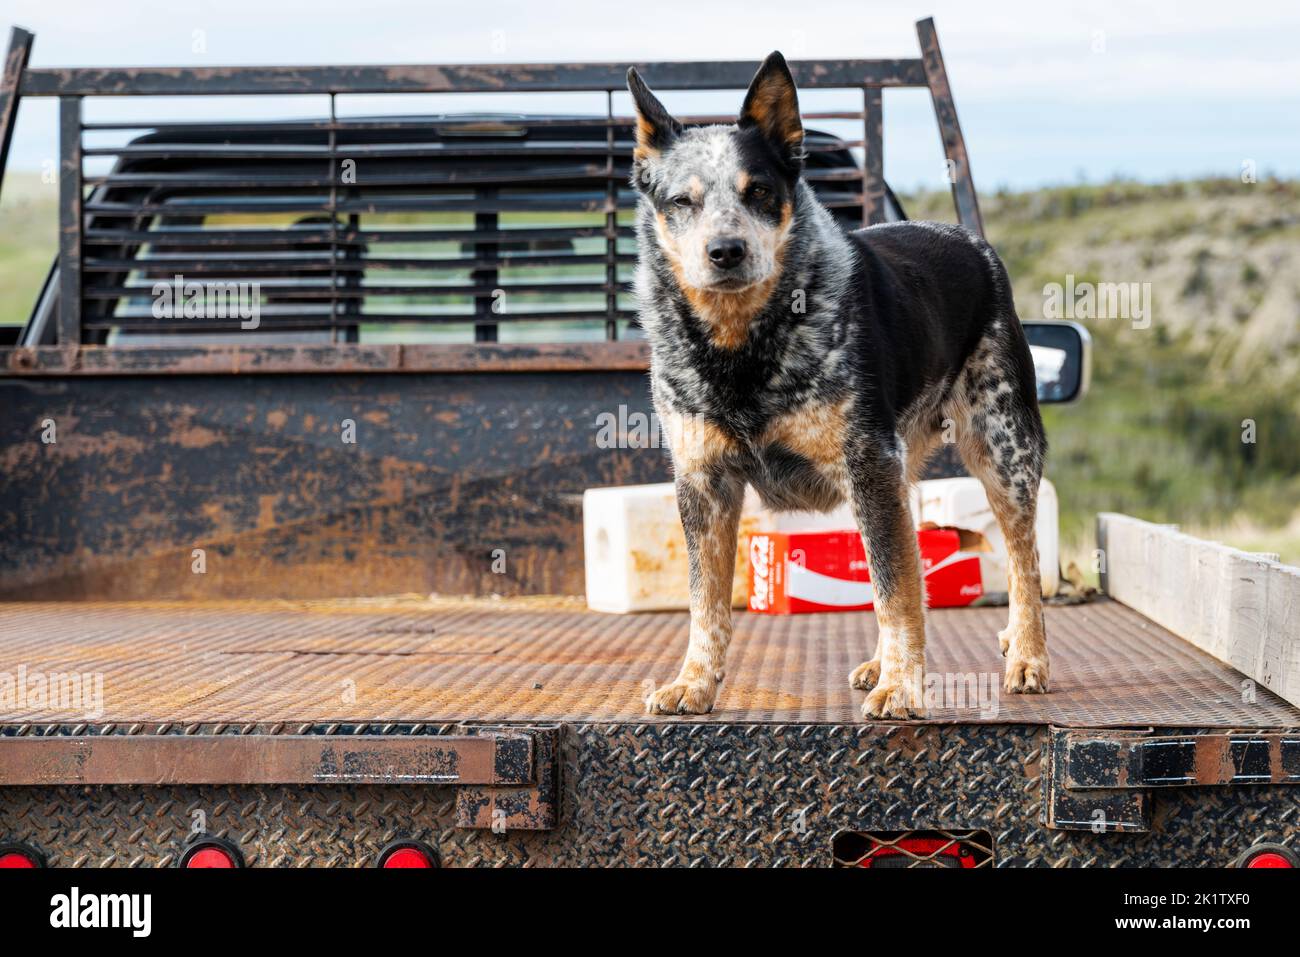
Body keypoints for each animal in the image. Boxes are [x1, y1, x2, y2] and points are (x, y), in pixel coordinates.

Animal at [624, 52, 1050, 717]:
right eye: (681, 201)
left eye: (759, 191)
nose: (726, 250)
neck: (741, 346)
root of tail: (968, 239)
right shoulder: (703, 480)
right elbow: (705, 601)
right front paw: (694, 682)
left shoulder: (868, 459)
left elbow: (896, 587)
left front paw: (902, 688)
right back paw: (880, 662)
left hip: (1002, 447)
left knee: (1021, 557)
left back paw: (1026, 655)